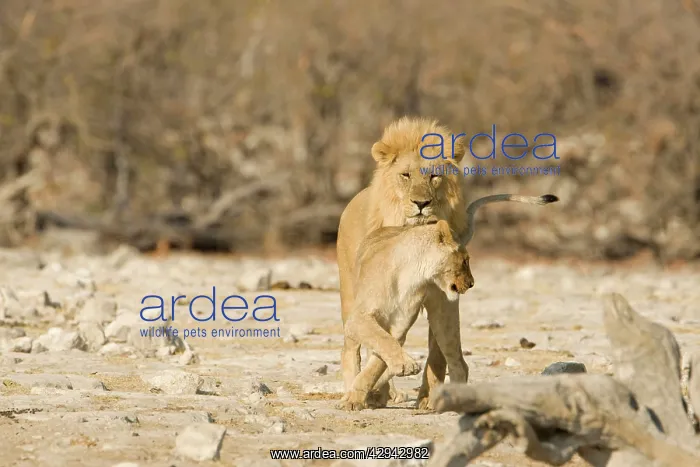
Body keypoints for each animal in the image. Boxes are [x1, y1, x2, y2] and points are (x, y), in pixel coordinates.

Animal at [336, 116, 558, 409]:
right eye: (405, 175)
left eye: (434, 175)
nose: (421, 203)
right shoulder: (361, 316)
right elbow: (377, 344)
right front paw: (366, 391)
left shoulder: (404, 320)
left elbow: (383, 355)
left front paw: (386, 379)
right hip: (349, 295)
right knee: (351, 350)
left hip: (444, 311)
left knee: (453, 358)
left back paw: (432, 398)